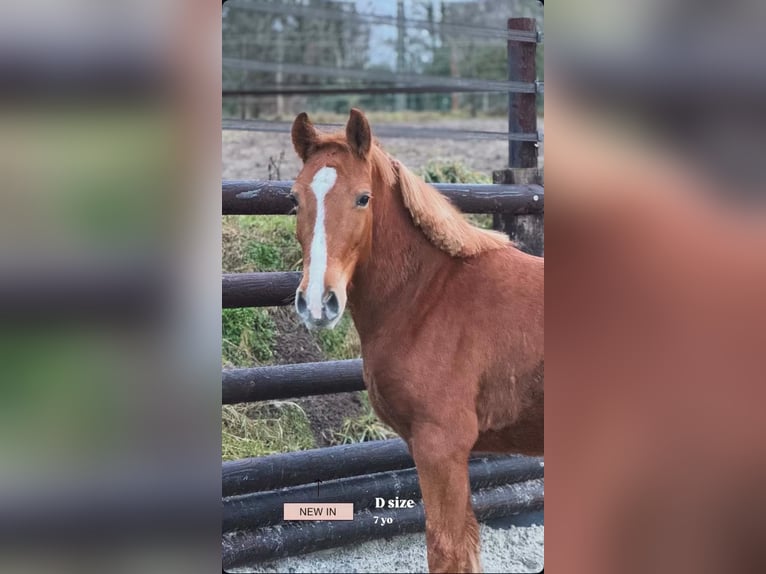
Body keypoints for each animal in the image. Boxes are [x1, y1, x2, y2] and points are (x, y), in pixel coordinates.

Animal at [288, 108, 544, 573]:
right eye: (295, 200)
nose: (317, 303)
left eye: (363, 198)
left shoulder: (441, 448)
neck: (429, 296)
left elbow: (446, 550)